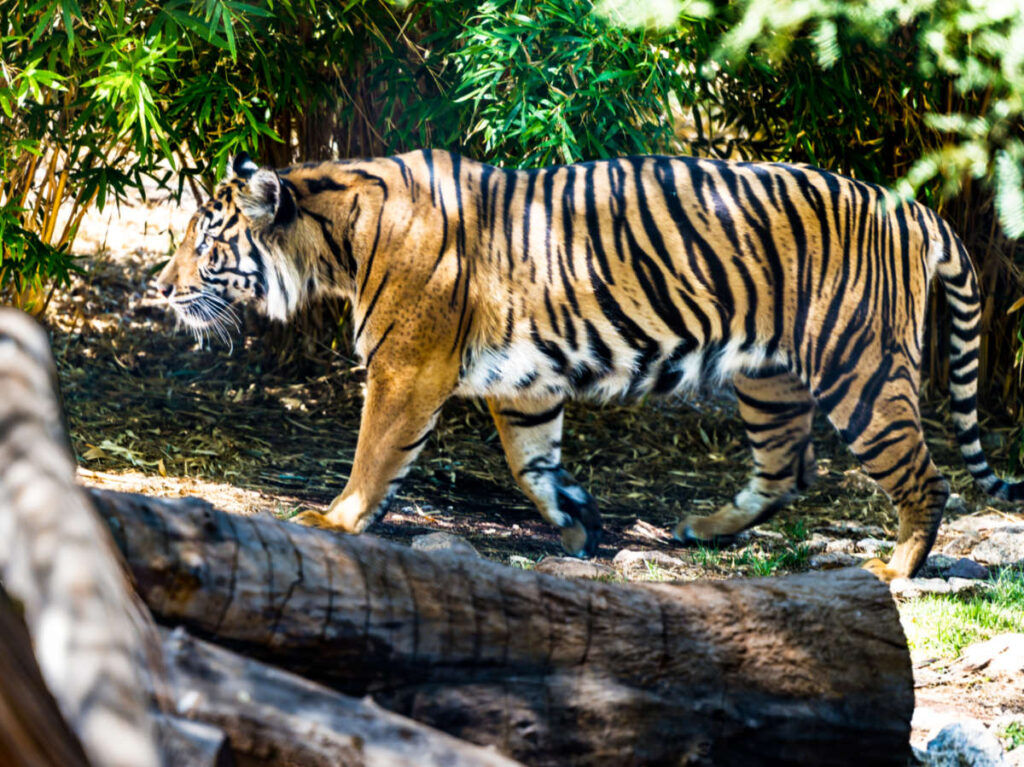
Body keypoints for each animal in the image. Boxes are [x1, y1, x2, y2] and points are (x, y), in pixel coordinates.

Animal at [153, 149, 1023, 582]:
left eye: (203, 240)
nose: (159, 288)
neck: (329, 236)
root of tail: (914, 207)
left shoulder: (407, 367)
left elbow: (375, 454)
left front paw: (334, 519)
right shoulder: (521, 380)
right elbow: (529, 460)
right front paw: (576, 518)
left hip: (859, 371)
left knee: (925, 476)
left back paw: (894, 568)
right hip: (768, 377)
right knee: (785, 468)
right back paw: (704, 527)